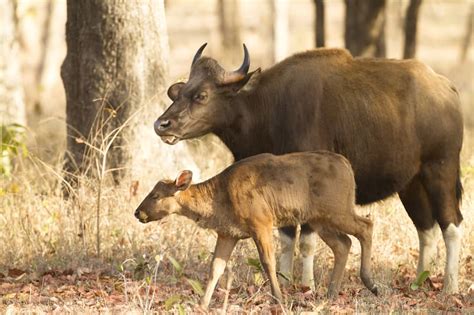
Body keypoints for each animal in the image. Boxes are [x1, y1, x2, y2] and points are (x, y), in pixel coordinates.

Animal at [134, 152, 378, 310]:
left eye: (155, 195)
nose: (138, 212)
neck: (218, 203)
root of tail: (347, 166)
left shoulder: (260, 221)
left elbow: (269, 263)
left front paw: (278, 299)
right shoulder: (228, 233)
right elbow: (215, 268)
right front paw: (202, 304)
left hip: (336, 209)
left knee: (366, 226)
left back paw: (370, 283)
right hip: (319, 218)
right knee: (343, 243)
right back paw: (331, 293)